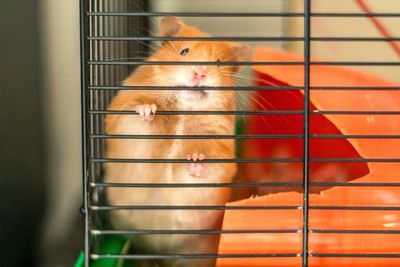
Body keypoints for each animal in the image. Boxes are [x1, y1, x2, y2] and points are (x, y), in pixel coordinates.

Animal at [104, 17, 252, 267]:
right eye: (184, 51)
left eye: (219, 63)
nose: (200, 73)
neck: (183, 108)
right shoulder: (125, 126)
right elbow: (139, 119)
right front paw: (147, 110)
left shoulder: (219, 152)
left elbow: (204, 167)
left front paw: (195, 159)